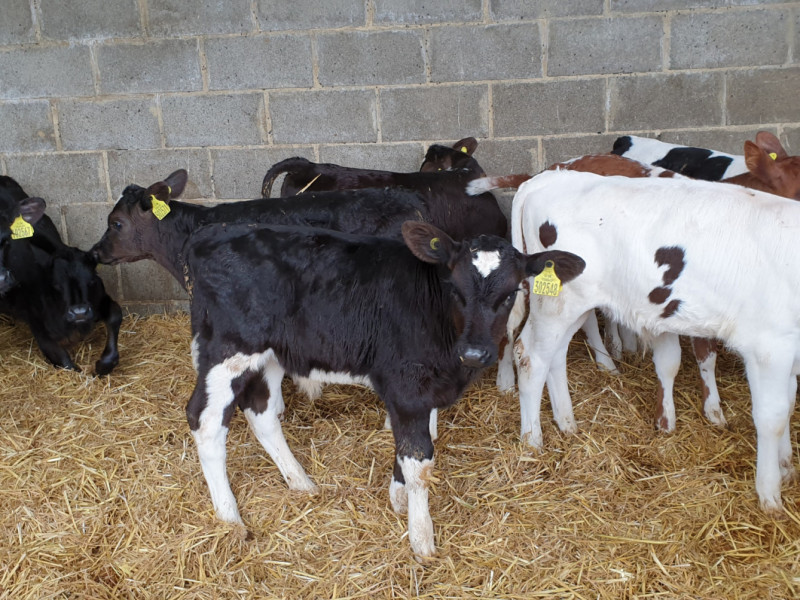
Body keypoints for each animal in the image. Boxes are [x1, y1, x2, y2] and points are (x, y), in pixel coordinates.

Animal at [0, 176, 122, 375]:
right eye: (56, 285)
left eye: (92, 280)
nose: (79, 312)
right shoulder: (39, 327)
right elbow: (66, 364)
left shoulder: (99, 298)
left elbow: (115, 314)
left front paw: (105, 363)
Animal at [181, 218, 586, 557]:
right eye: (455, 289)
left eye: (511, 293)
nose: (474, 352)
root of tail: (211, 234)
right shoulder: (407, 386)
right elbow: (420, 460)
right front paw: (422, 540)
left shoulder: (418, 392)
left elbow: (417, 445)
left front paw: (399, 497)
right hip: (228, 350)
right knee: (205, 420)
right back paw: (230, 519)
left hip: (271, 355)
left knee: (261, 411)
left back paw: (301, 482)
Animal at [507, 168, 799, 516]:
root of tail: (550, 176)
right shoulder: (769, 346)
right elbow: (773, 417)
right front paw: (770, 493)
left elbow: (790, 402)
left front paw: (786, 466)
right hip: (555, 304)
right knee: (530, 357)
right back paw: (532, 441)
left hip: (571, 307)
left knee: (556, 355)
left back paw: (567, 423)